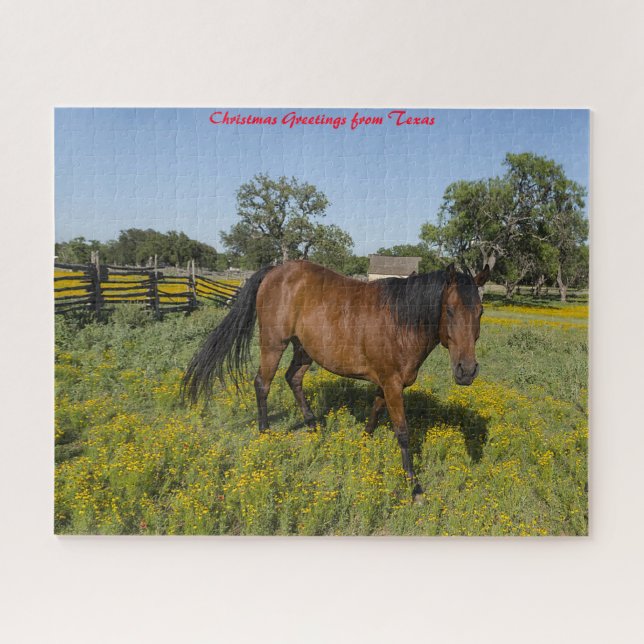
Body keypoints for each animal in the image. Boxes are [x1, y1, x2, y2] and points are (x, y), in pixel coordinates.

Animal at [183, 259, 489, 499]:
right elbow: (403, 432)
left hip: (304, 349)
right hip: (273, 344)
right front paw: (414, 486)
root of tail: (275, 270)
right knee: (263, 384)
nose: (466, 370)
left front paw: (362, 445)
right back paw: (265, 432)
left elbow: (374, 413)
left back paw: (313, 426)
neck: (400, 322)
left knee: (293, 378)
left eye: (480, 311)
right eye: (449, 310)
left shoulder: (385, 382)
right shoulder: (391, 384)